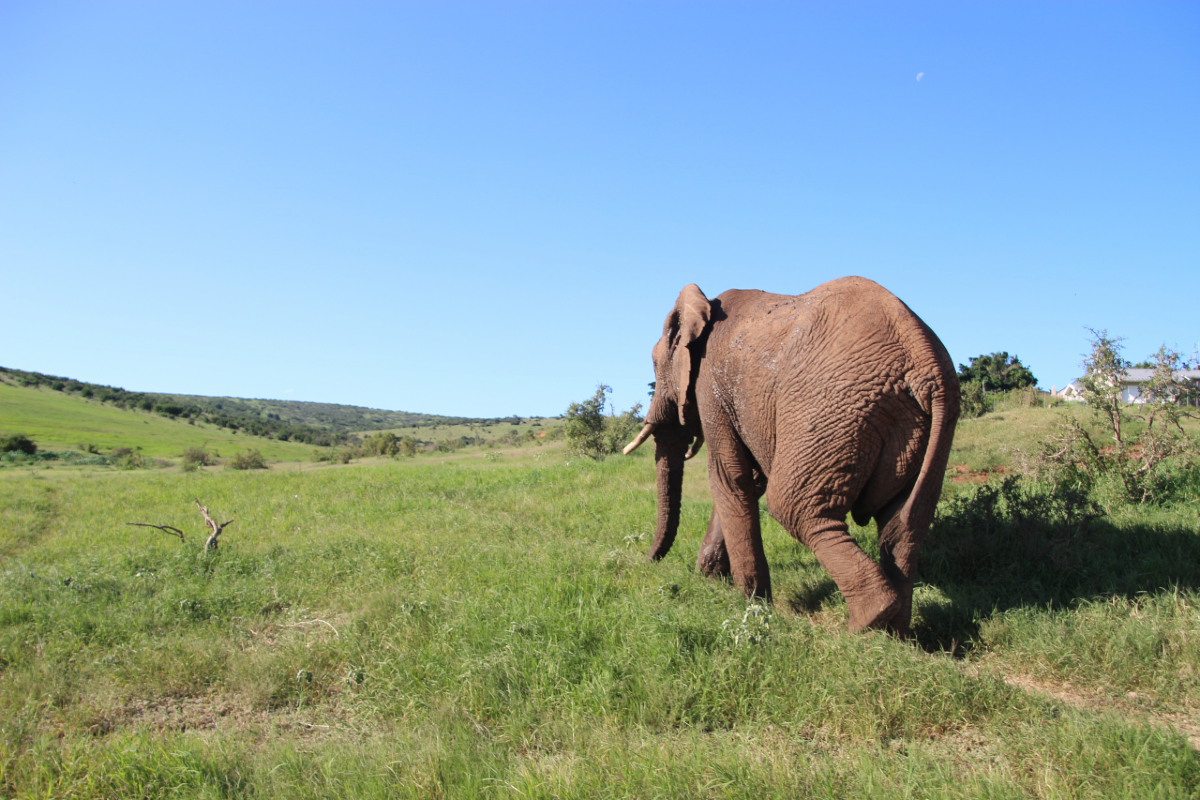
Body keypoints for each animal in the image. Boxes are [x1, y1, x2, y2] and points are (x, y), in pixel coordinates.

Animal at [623, 277, 959, 636]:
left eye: (654, 363)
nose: (647, 562)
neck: (704, 304)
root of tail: (924, 361)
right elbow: (749, 480)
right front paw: (712, 579)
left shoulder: (710, 384)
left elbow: (729, 477)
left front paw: (750, 605)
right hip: (922, 426)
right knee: (903, 521)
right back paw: (894, 633)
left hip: (831, 409)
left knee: (795, 508)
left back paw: (866, 624)